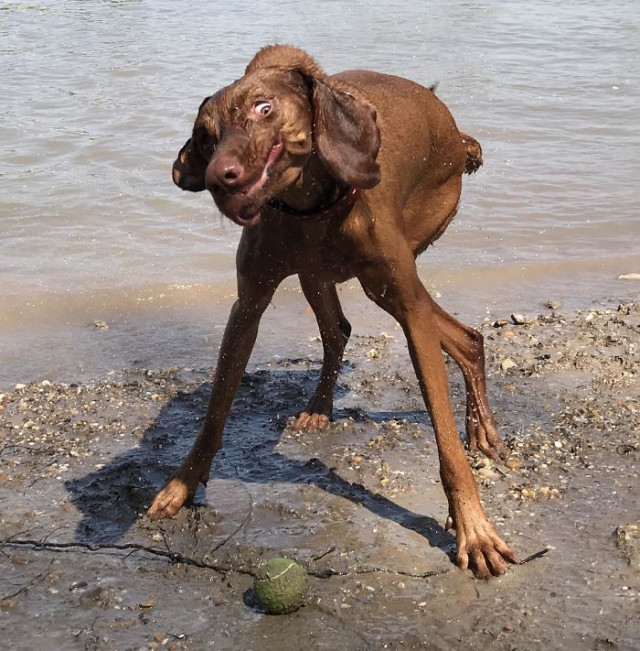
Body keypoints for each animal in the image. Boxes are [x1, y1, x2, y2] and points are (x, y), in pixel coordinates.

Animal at [148, 48, 516, 584]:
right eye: (205, 134)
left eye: (264, 108)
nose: (218, 177)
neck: (310, 206)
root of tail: (454, 129)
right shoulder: (248, 306)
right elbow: (214, 414)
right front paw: (181, 485)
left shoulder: (406, 306)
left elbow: (446, 444)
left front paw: (473, 529)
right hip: (324, 276)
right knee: (344, 330)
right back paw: (323, 407)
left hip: (396, 272)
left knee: (457, 334)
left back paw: (480, 429)